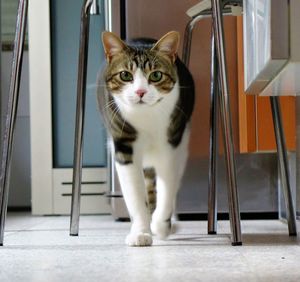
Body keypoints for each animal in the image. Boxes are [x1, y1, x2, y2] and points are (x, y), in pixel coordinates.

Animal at [99, 31, 195, 247]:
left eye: (156, 75)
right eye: (125, 75)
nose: (140, 92)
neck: (146, 117)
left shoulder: (172, 144)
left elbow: (167, 187)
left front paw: (160, 224)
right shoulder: (124, 144)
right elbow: (135, 194)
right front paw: (141, 232)